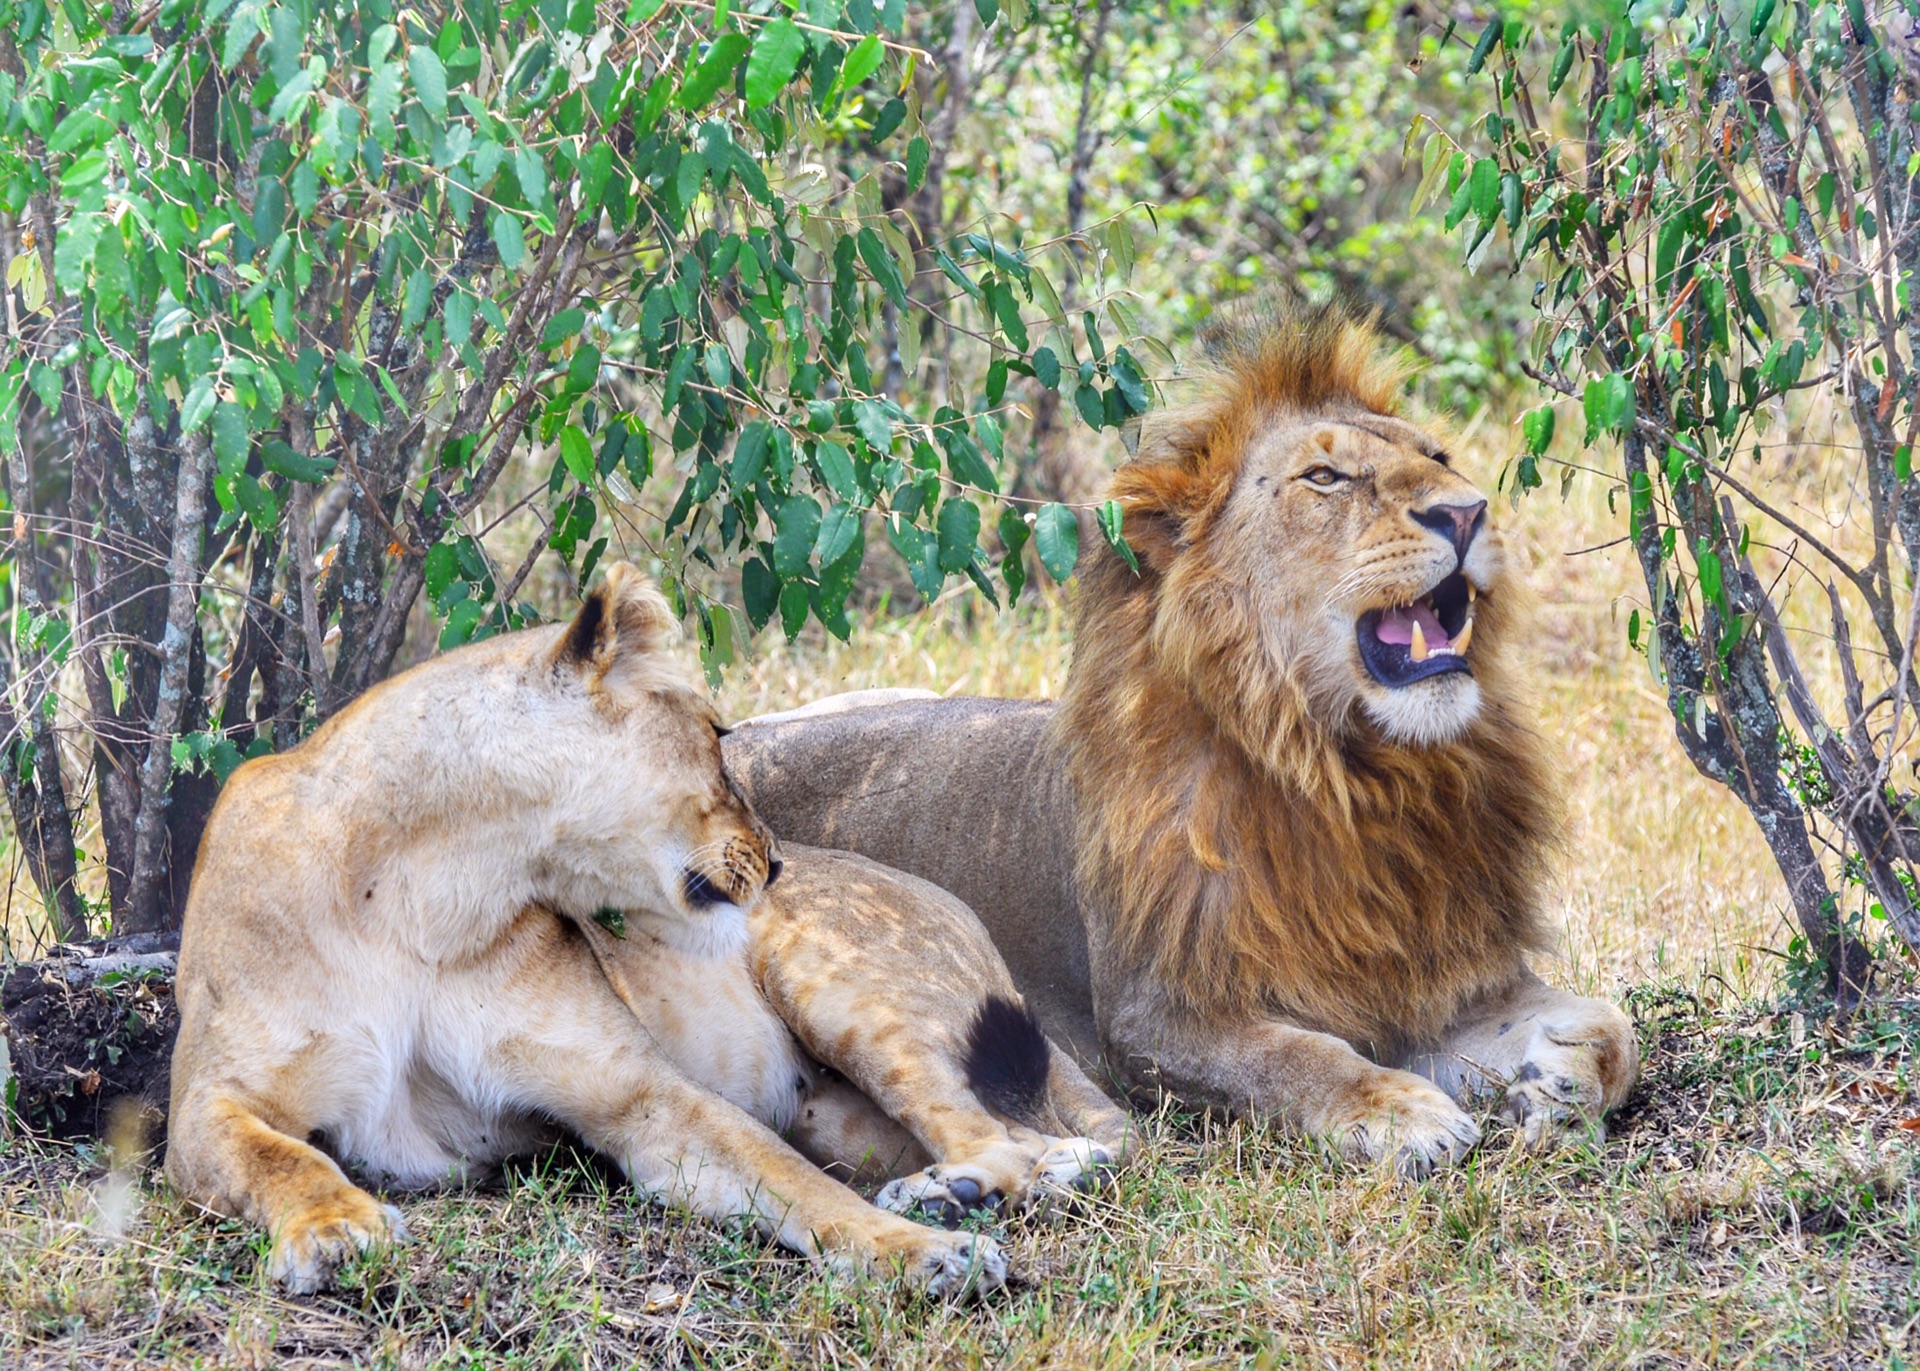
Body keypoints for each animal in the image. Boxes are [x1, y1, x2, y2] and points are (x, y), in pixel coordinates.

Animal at [168, 564, 1121, 1290]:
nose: (775, 861)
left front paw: (926, 1252)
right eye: (717, 731)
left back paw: (955, 1197)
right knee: (1034, 1145)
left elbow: (788, 1179)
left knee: (1024, 1142)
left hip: (844, 982)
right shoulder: (210, 1098)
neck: (427, 897)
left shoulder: (637, 1090)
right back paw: (948, 1192)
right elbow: (282, 1157)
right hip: (836, 1113)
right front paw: (335, 1229)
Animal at [721, 312, 1635, 1175]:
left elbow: (1612, 1025)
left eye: (1440, 457)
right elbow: (1298, 1055)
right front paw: (1399, 1111)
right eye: (1326, 478)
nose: (1467, 510)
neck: (1352, 775)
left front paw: (1553, 1084)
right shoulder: (1157, 1016)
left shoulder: (1446, 976)